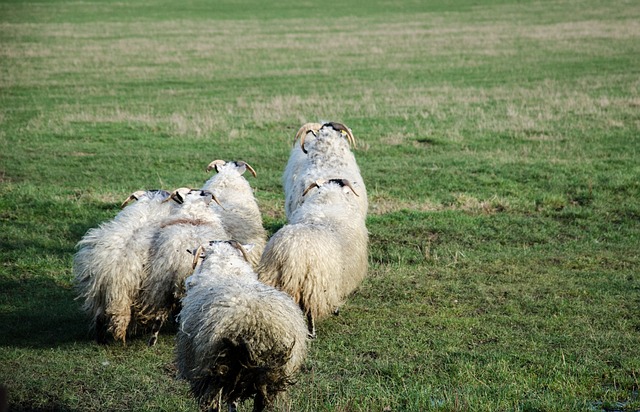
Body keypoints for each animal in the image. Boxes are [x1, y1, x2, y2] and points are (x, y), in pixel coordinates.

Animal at [174, 240, 306, 410]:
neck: (226, 271)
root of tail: (254, 325)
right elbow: (233, 402)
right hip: (270, 375)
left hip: (214, 372)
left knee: (214, 404)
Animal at [256, 178, 368, 338]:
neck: (328, 201)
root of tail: (290, 251)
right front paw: (336, 309)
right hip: (314, 285)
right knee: (310, 309)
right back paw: (312, 331)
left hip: (272, 275)